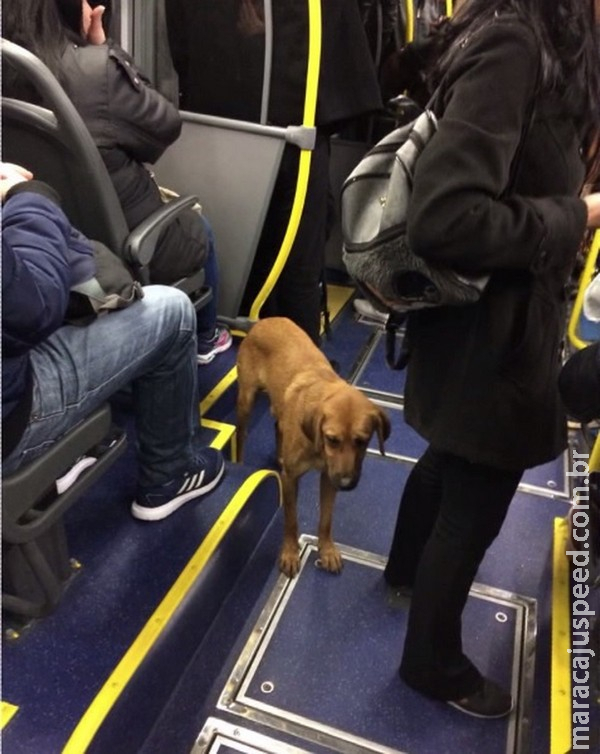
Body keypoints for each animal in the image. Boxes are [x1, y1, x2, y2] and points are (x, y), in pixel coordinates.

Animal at [234, 318, 390, 576]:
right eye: (332, 439)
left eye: (362, 440)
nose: (346, 484)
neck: (318, 448)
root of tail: (263, 321)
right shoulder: (290, 479)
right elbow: (291, 520)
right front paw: (289, 553)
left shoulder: (329, 478)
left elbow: (326, 519)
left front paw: (327, 550)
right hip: (246, 398)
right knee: (241, 435)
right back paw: (239, 460)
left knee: (278, 425)